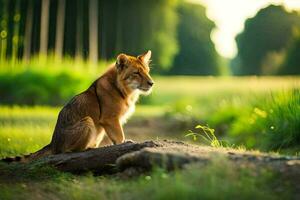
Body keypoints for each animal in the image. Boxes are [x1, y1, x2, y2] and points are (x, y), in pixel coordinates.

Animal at [3, 50, 155, 162]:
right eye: (136, 73)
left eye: (147, 71)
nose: (151, 83)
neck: (125, 90)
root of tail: (53, 143)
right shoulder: (110, 119)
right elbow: (119, 137)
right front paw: (125, 143)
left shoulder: (111, 122)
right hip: (88, 121)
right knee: (68, 151)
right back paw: (89, 149)